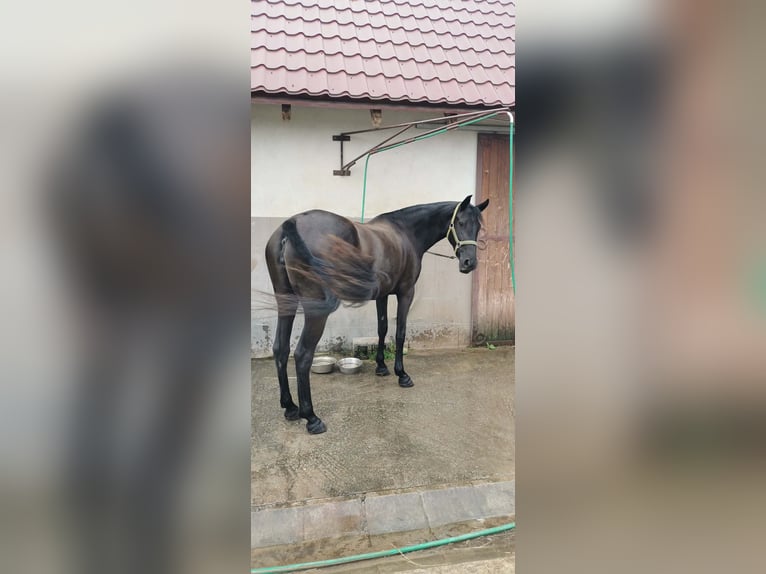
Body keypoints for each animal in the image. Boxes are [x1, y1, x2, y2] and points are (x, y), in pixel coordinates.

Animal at [265, 195, 489, 434]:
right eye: (460, 223)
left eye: (478, 227)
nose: (469, 263)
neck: (405, 232)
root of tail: (290, 225)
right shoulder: (406, 292)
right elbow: (400, 332)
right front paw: (402, 374)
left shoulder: (382, 295)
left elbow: (382, 329)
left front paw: (381, 367)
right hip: (315, 310)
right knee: (302, 355)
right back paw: (311, 417)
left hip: (285, 301)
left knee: (280, 349)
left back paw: (290, 407)